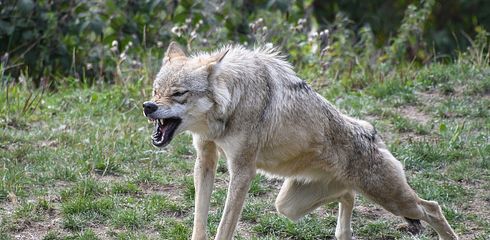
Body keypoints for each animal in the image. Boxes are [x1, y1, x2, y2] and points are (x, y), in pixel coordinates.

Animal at [143, 42, 460, 239]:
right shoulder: (205, 159)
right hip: (288, 206)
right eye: (156, 90)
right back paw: (343, 233)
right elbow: (200, 219)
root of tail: (373, 132)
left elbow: (224, 225)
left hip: (393, 200)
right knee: (348, 195)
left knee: (432, 208)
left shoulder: (243, 170)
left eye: (178, 94)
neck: (233, 101)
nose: (148, 106)